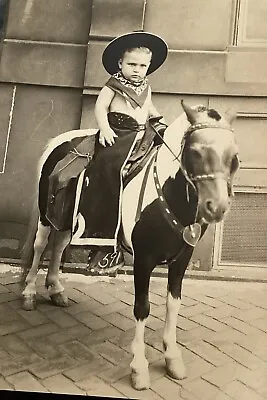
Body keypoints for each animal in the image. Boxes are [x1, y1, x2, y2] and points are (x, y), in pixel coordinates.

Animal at [19, 101, 240, 390]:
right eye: (195, 152)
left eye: (234, 156)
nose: (217, 207)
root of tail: (61, 140)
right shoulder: (144, 259)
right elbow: (142, 308)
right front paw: (139, 368)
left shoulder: (182, 258)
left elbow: (173, 305)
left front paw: (172, 358)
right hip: (46, 217)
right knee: (40, 247)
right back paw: (29, 293)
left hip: (69, 219)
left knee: (58, 246)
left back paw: (56, 290)